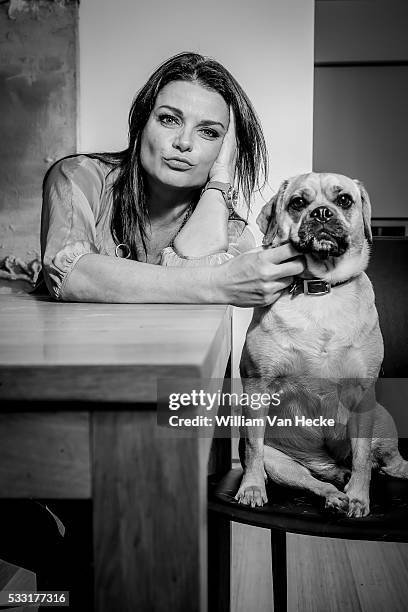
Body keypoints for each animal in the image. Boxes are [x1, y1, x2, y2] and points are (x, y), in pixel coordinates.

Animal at [236, 171, 408, 516]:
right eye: (298, 202)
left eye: (344, 200)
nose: (322, 213)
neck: (320, 288)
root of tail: (324, 459)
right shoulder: (257, 386)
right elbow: (252, 448)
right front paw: (252, 488)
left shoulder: (362, 391)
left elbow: (361, 457)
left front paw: (359, 497)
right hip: (284, 464)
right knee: (314, 480)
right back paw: (333, 492)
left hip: (383, 424)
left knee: (385, 462)